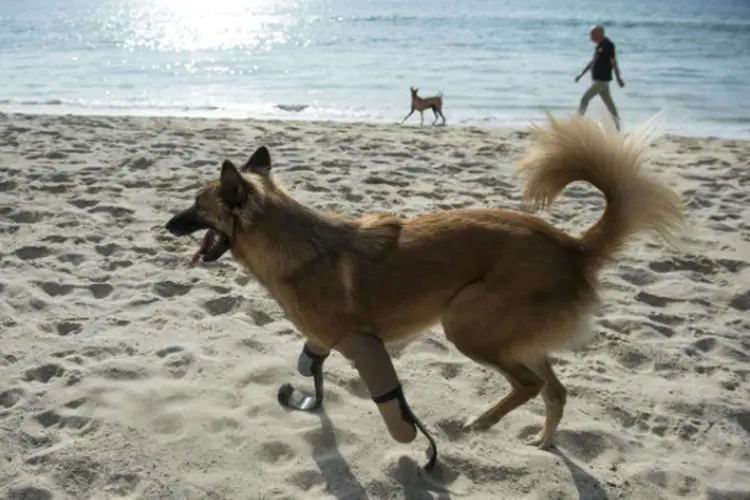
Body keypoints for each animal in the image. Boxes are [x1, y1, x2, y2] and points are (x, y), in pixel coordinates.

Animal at [167, 113, 684, 464]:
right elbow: (311, 362)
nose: (167, 224)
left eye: (197, 205)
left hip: (465, 322)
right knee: (555, 391)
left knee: (531, 384)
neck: (295, 245)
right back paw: (543, 439)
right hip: (514, 335)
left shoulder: (362, 343)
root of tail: (572, 245)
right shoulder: (325, 338)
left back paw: (482, 421)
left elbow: (385, 402)